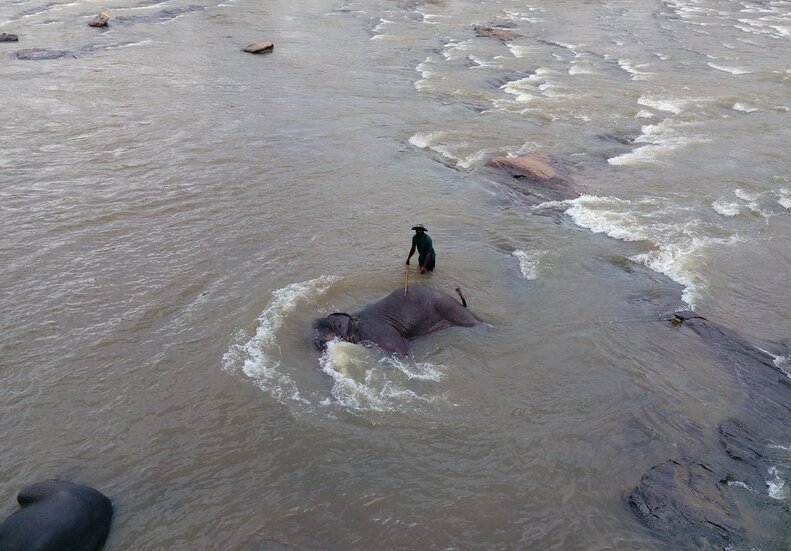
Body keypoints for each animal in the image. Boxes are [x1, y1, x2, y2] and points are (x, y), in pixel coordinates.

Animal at [311, 284, 484, 356]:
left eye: (322, 332)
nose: (317, 344)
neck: (353, 320)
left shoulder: (378, 333)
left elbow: (402, 351)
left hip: (448, 306)